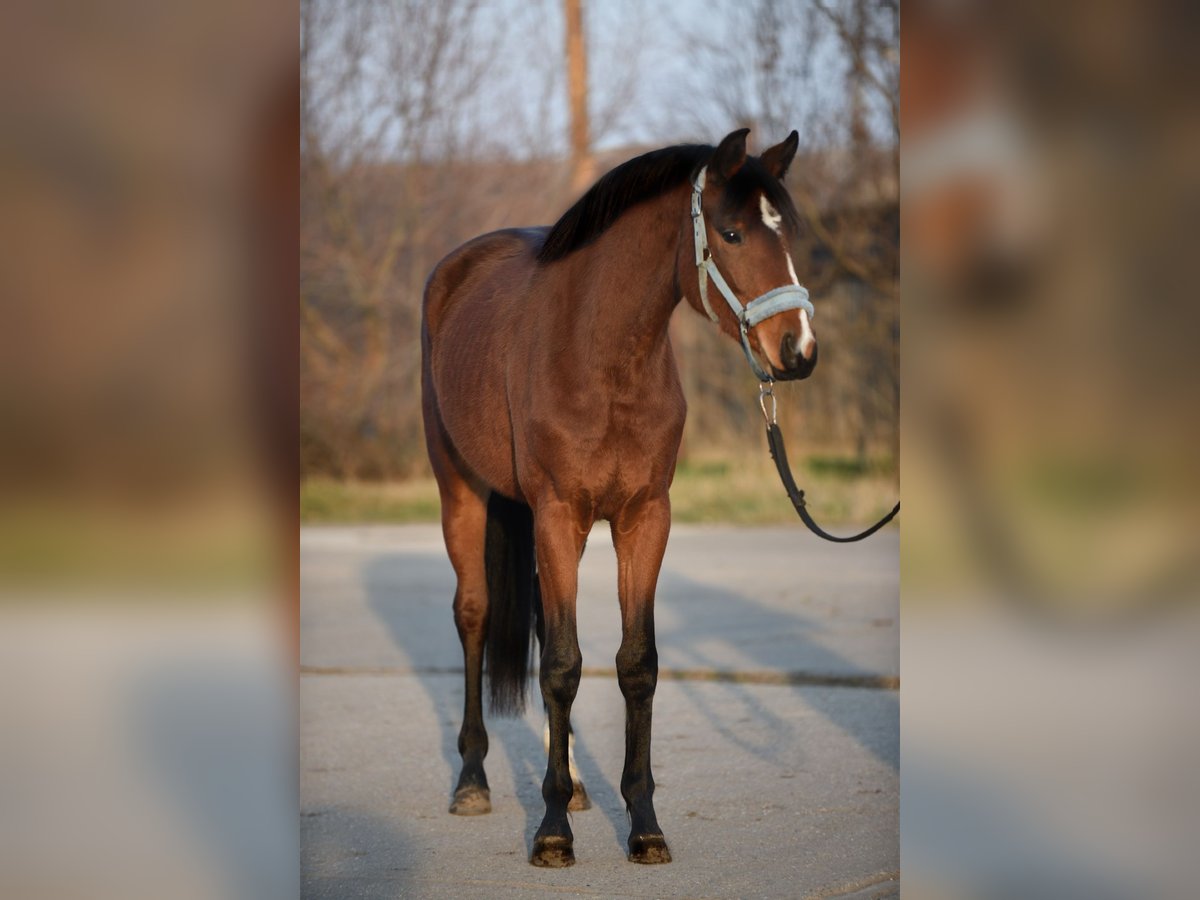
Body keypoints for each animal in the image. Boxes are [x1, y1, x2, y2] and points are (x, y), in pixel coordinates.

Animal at [420, 127, 816, 868]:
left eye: (791, 232)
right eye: (731, 232)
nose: (799, 349)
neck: (601, 360)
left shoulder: (644, 518)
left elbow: (635, 665)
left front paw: (643, 823)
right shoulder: (558, 513)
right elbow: (564, 666)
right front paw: (551, 832)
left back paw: (574, 783)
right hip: (462, 490)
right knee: (473, 616)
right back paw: (473, 779)